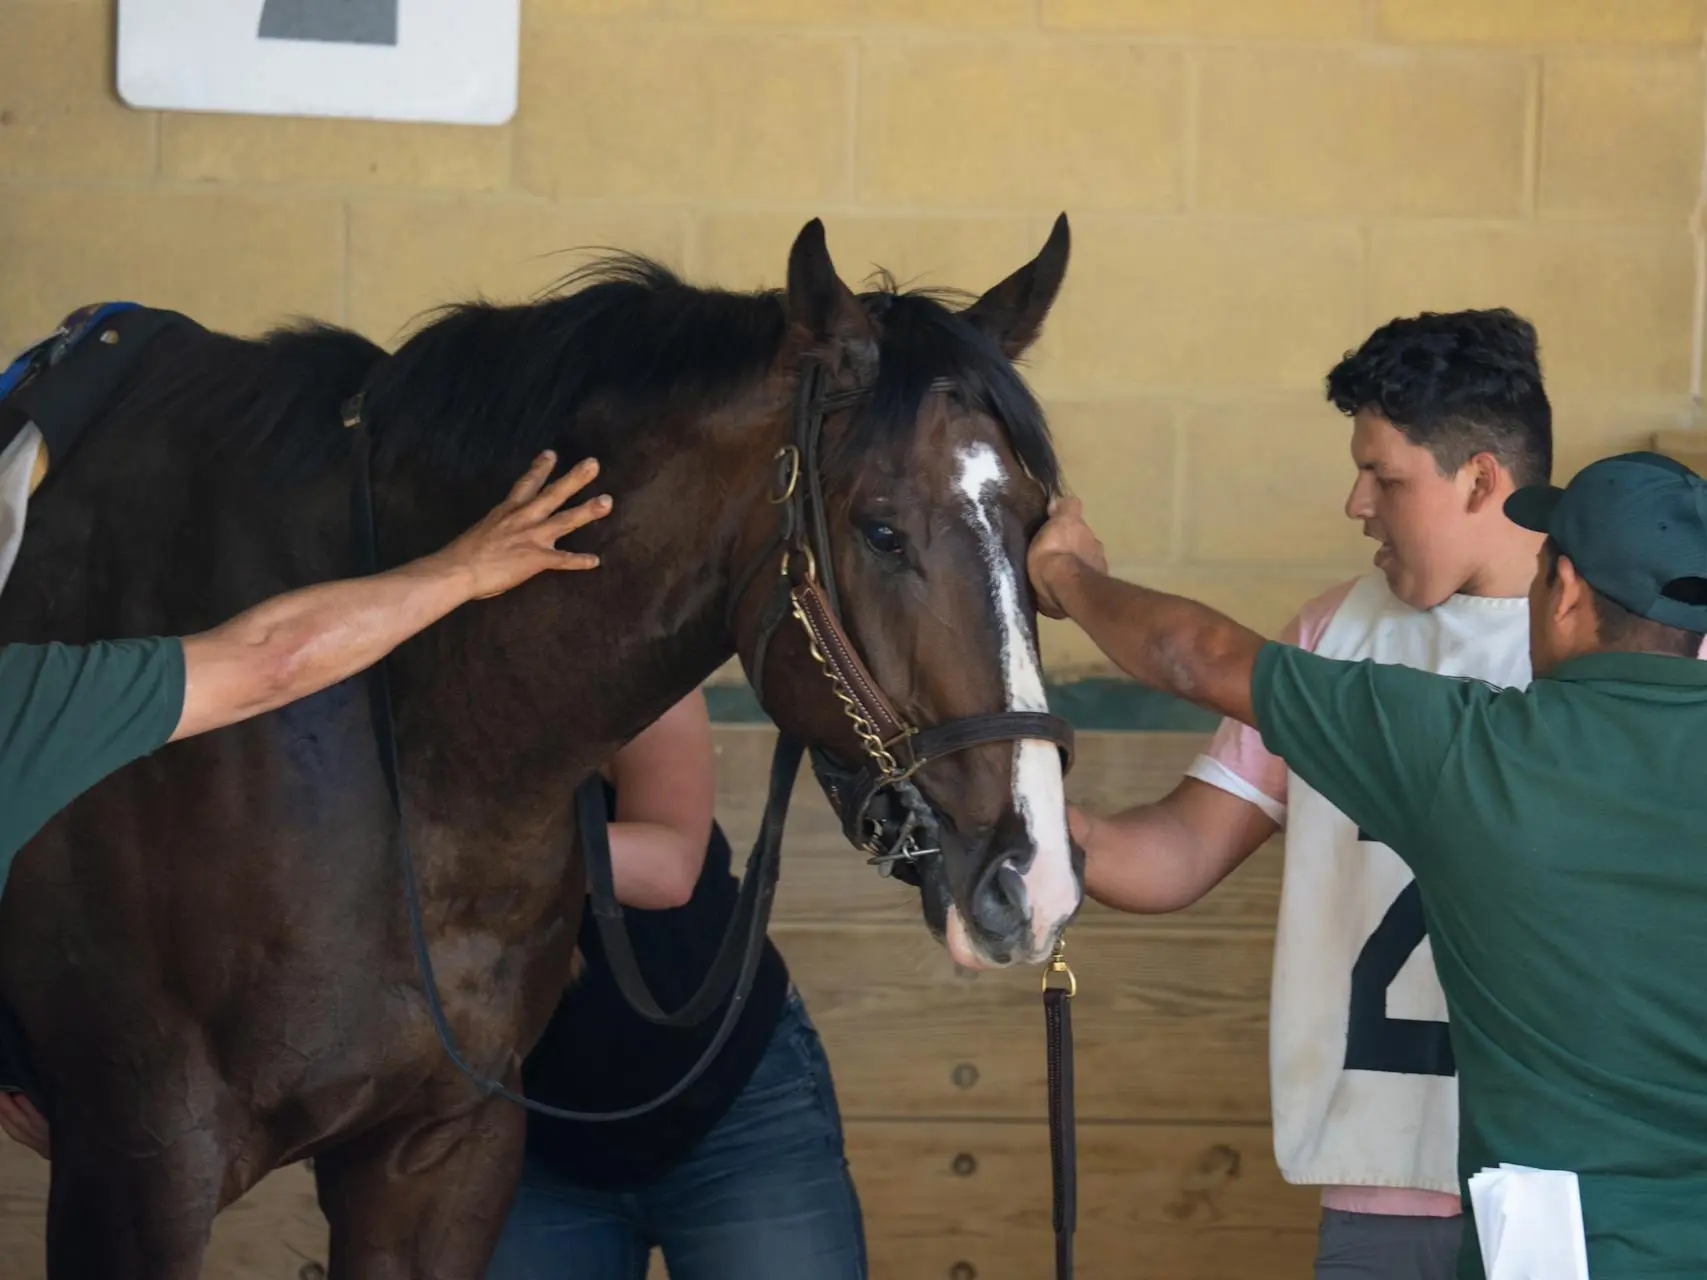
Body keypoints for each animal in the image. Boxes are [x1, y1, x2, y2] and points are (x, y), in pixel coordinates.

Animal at [0, 215, 1078, 1276]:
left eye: (1036, 529)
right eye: (882, 531)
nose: (1035, 884)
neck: (411, 752)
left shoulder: (443, 1153)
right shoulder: (140, 1162)